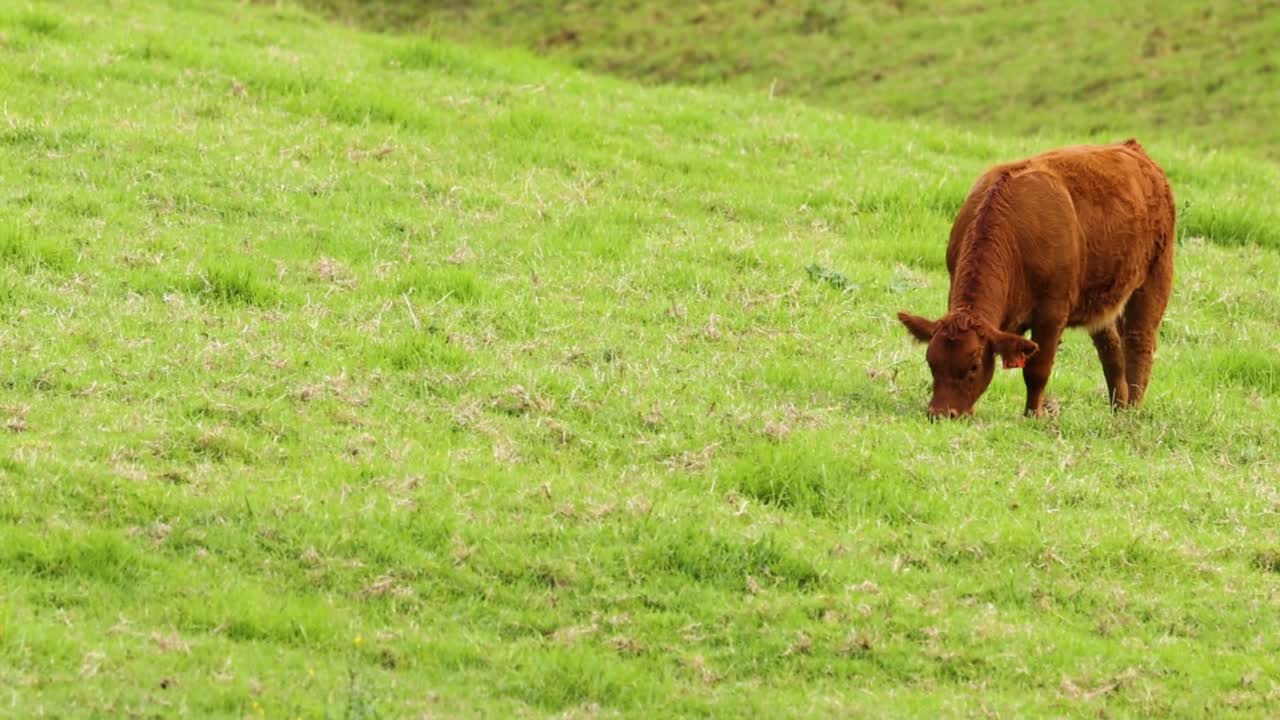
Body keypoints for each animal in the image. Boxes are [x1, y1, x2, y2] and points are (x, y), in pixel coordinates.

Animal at [897, 139, 1176, 419]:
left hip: (1155, 276)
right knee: (1112, 352)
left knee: (1139, 344)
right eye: (931, 361)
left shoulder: (1052, 313)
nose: (940, 413)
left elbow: (1037, 370)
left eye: (974, 366)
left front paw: (1033, 415)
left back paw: (1132, 412)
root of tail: (1132, 148)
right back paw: (1118, 409)